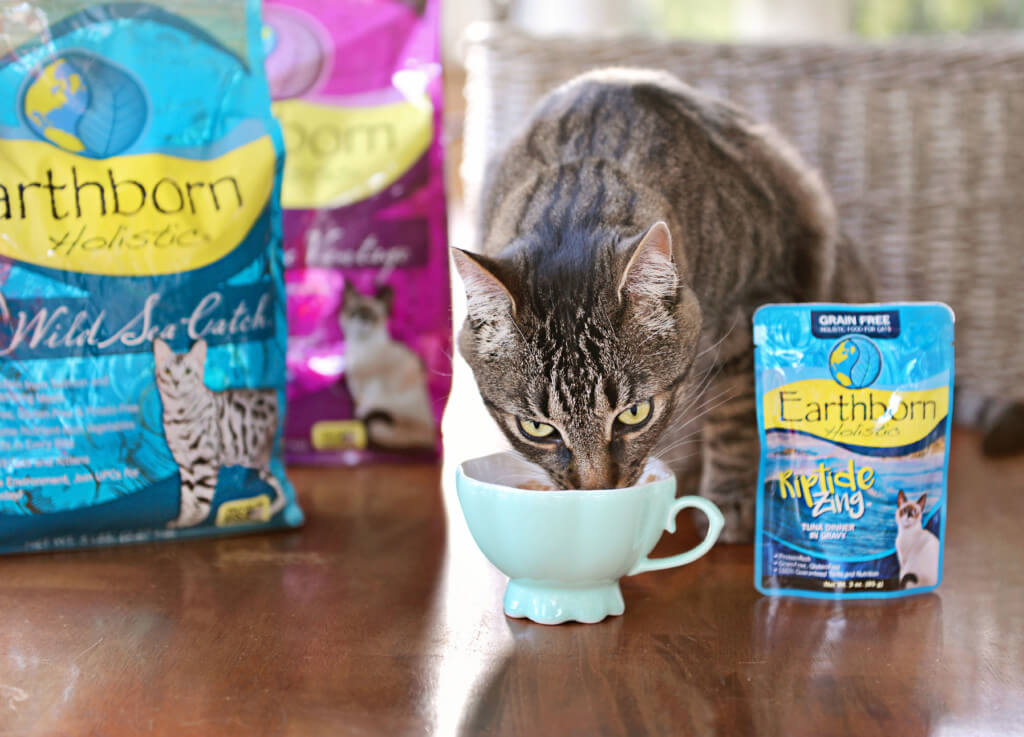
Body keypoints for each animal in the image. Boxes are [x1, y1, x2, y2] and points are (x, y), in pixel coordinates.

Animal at [151, 339, 282, 528]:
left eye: (188, 371)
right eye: (168, 371)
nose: (175, 382)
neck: (178, 415)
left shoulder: (205, 461)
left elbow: (201, 503)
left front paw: (189, 523)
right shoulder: (184, 463)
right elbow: (187, 499)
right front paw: (181, 520)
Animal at [450, 69, 872, 540]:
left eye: (635, 414)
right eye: (537, 428)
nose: (597, 491)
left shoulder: (752, 305)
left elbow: (736, 417)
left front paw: (731, 501)